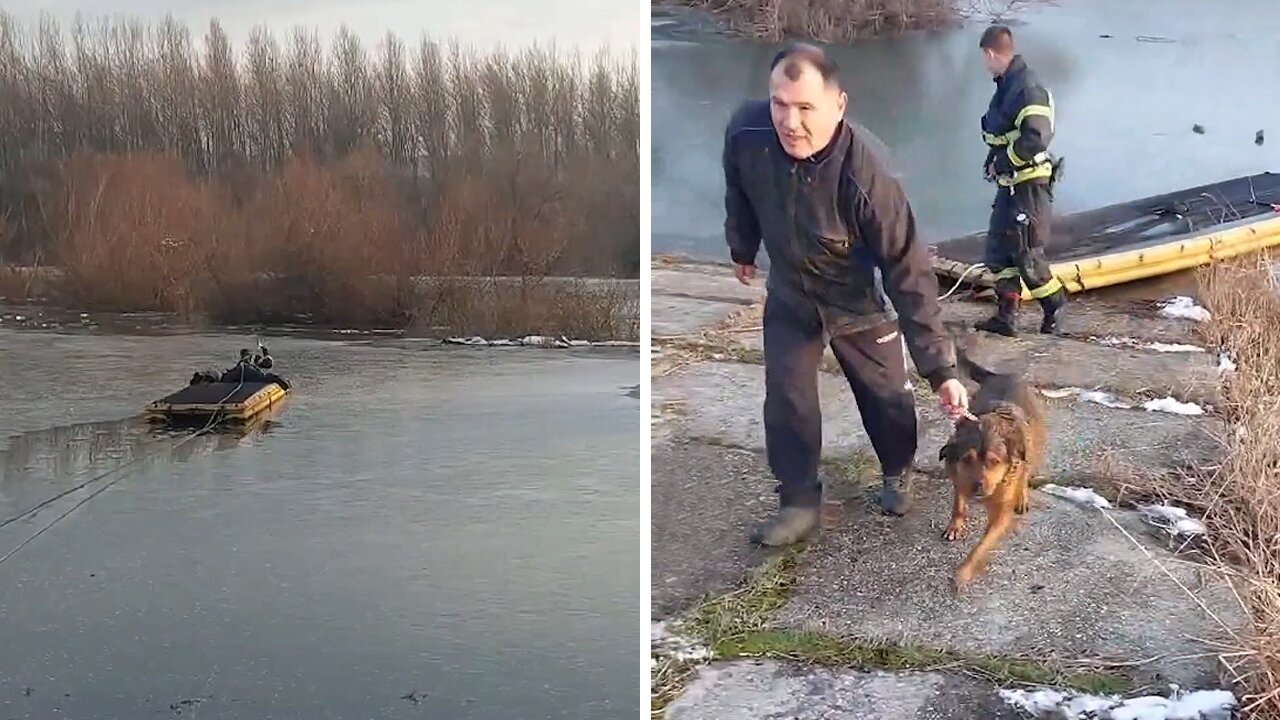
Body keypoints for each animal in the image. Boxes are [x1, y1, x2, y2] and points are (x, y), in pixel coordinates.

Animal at [936, 340, 1044, 589]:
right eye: (967, 459)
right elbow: (958, 503)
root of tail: (1006, 375)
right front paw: (955, 524)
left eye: (994, 462)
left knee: (1026, 470)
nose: (978, 487)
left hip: (1033, 445)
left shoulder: (1000, 515)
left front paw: (964, 571)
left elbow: (982, 545)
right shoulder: (958, 478)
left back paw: (1022, 496)